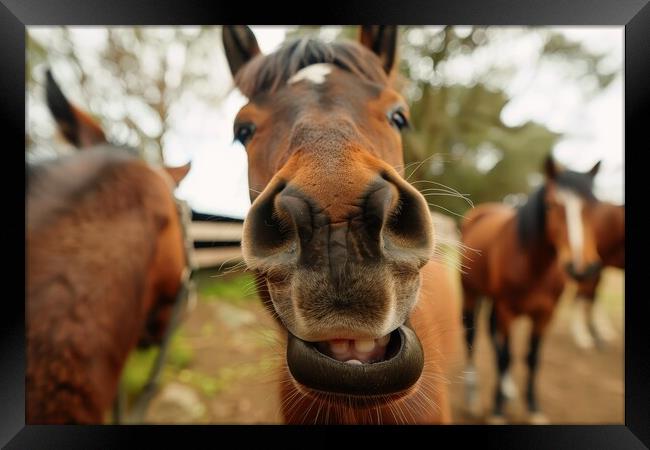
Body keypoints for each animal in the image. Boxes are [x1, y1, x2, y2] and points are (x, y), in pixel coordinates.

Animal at [458, 156, 600, 424]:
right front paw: (497, 411)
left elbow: (532, 359)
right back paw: (473, 398)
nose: (581, 266)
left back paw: (508, 389)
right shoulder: (507, 311)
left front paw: (533, 408)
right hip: (471, 295)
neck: (534, 268)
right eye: (551, 205)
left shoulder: (545, 315)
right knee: (472, 337)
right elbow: (506, 356)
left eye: (595, 206)